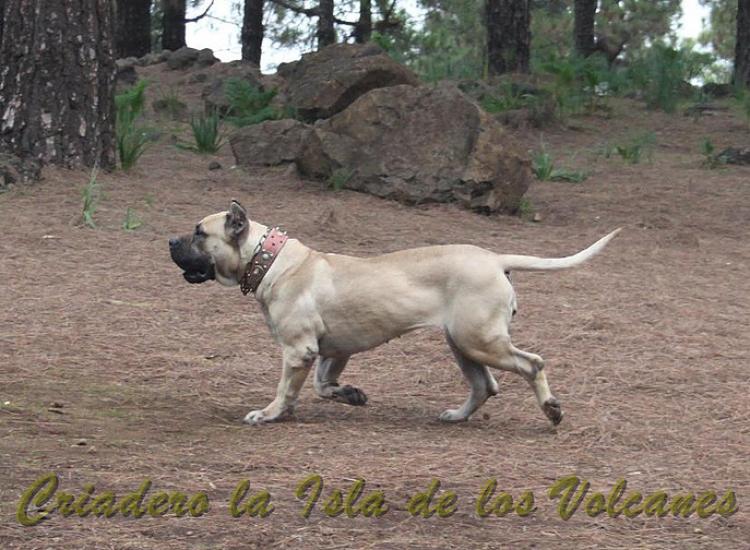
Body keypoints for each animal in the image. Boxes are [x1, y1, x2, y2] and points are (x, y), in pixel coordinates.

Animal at [172, 202, 624, 426]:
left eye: (199, 233)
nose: (170, 242)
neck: (271, 260)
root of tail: (495, 258)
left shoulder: (298, 351)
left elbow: (287, 389)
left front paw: (269, 415)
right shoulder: (333, 351)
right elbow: (322, 386)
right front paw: (350, 395)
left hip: (481, 341)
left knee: (532, 364)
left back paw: (551, 409)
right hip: (463, 344)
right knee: (484, 386)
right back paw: (456, 416)